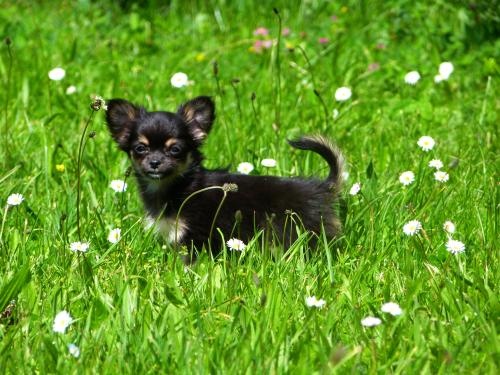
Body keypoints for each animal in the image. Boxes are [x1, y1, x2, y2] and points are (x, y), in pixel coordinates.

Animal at [105, 97, 344, 260]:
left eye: (175, 149)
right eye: (140, 148)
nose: (155, 162)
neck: (179, 186)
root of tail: (321, 187)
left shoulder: (196, 235)